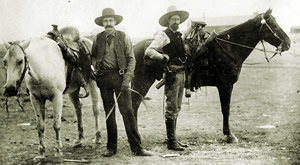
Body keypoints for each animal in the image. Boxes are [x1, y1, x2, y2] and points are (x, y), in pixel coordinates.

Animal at [132, 9, 290, 142]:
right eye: (273, 24)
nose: (288, 43)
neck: (228, 48)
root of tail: (133, 47)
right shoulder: (225, 85)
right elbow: (226, 109)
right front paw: (229, 135)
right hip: (142, 83)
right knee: (134, 105)